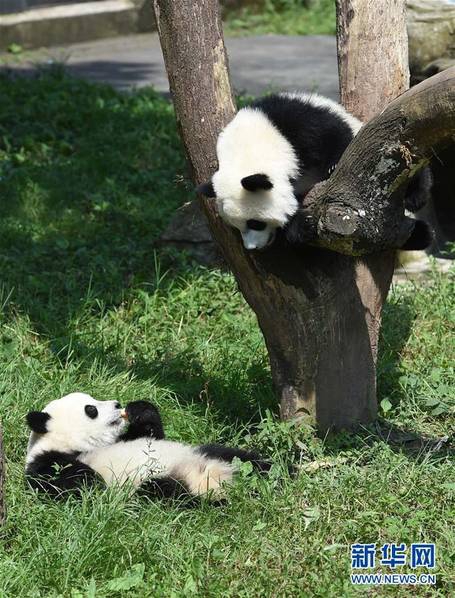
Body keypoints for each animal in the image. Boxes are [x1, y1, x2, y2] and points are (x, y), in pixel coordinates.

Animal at [25, 392, 270, 500]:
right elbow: (70, 484)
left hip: (208, 454)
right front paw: (91, 481)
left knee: (249, 460)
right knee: (162, 490)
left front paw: (138, 409)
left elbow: (150, 433)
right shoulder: (46, 461)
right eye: (91, 409)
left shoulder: (131, 439)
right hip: (154, 484)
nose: (118, 405)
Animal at [197, 92, 432, 251]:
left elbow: (338, 138)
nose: (252, 248)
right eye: (236, 227)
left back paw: (416, 201)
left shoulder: (302, 121)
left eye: (255, 223)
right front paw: (300, 225)